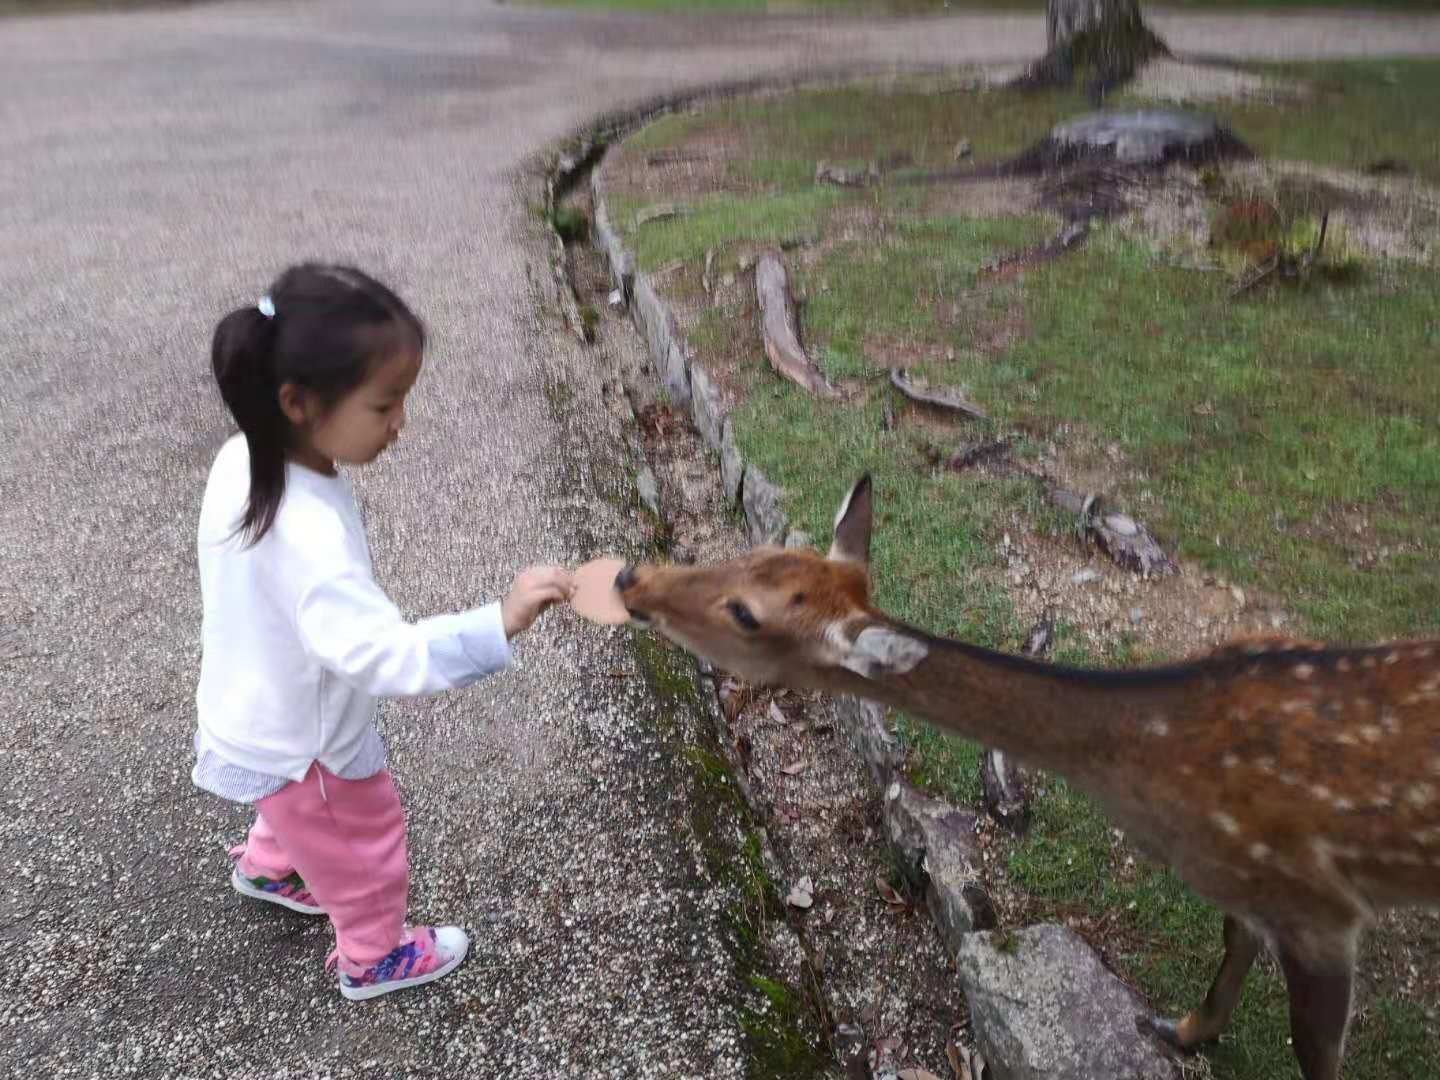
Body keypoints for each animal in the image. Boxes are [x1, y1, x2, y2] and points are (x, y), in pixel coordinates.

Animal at [613, 480, 1440, 1080]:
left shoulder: (1319, 906)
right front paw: (1178, 1031)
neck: (1153, 771)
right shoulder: (1251, 886)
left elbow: (1315, 1050)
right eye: (751, 551)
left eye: (746, 615)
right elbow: (1234, 941)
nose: (629, 576)